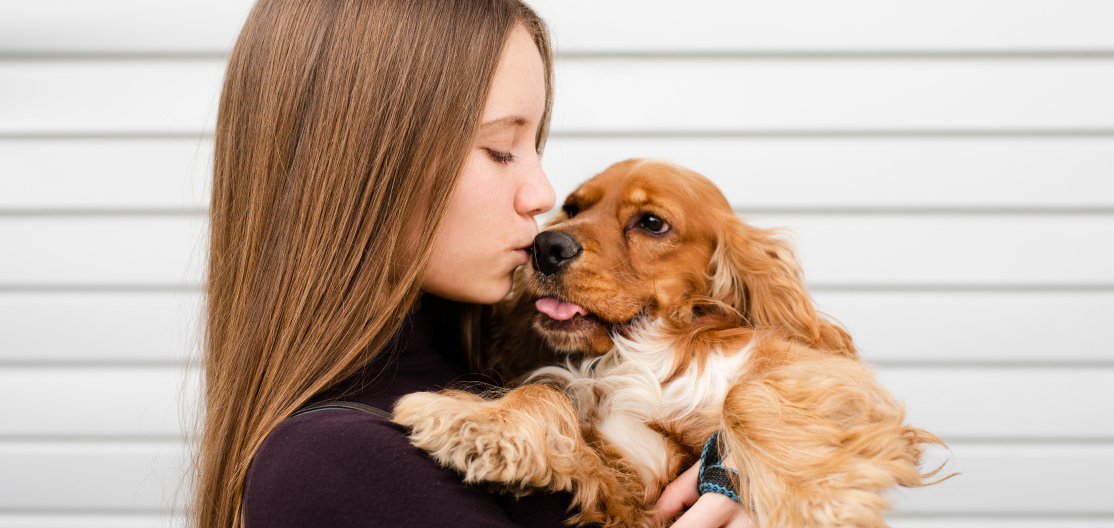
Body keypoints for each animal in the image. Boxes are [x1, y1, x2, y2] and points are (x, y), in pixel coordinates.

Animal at [396, 159, 944, 525]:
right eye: (572, 208)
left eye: (652, 223)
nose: (545, 246)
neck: (641, 349)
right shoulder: (636, 477)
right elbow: (547, 392)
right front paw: (477, 423)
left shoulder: (828, 377)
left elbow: (747, 394)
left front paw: (810, 504)